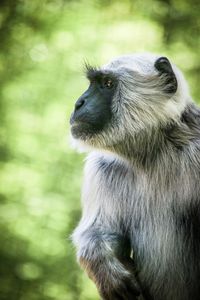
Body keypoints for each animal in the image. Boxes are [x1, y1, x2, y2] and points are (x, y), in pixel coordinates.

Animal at [69, 54, 200, 300]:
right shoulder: (102, 168)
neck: (155, 154)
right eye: (93, 83)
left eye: (107, 84)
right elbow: (100, 232)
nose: (79, 102)